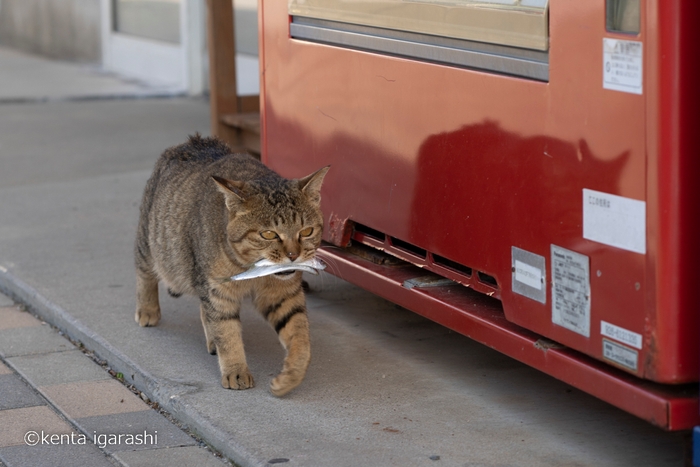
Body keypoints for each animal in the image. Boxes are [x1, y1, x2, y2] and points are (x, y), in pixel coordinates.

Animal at [135, 133, 330, 396]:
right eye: (269, 234)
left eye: (307, 231)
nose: (293, 254)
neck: (252, 270)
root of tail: (193, 141)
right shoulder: (218, 291)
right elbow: (227, 334)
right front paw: (236, 371)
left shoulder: (284, 295)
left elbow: (300, 336)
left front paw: (291, 376)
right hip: (151, 243)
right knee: (144, 272)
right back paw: (148, 310)